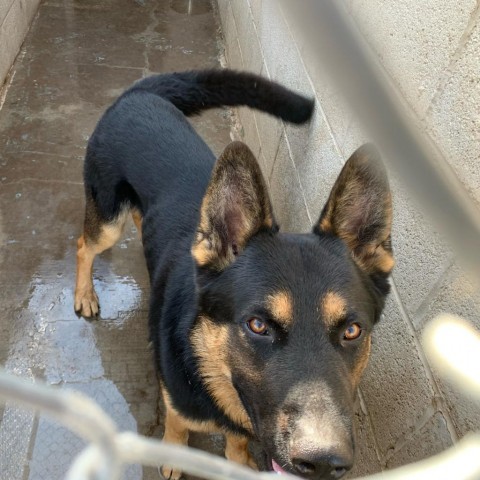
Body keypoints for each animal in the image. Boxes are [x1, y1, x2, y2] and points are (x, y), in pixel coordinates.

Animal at [73, 68, 392, 480]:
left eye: (352, 331)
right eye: (258, 326)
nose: (323, 464)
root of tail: (141, 92)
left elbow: (237, 441)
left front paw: (238, 460)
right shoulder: (175, 397)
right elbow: (176, 424)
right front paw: (173, 455)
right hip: (109, 222)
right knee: (83, 245)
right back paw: (84, 294)